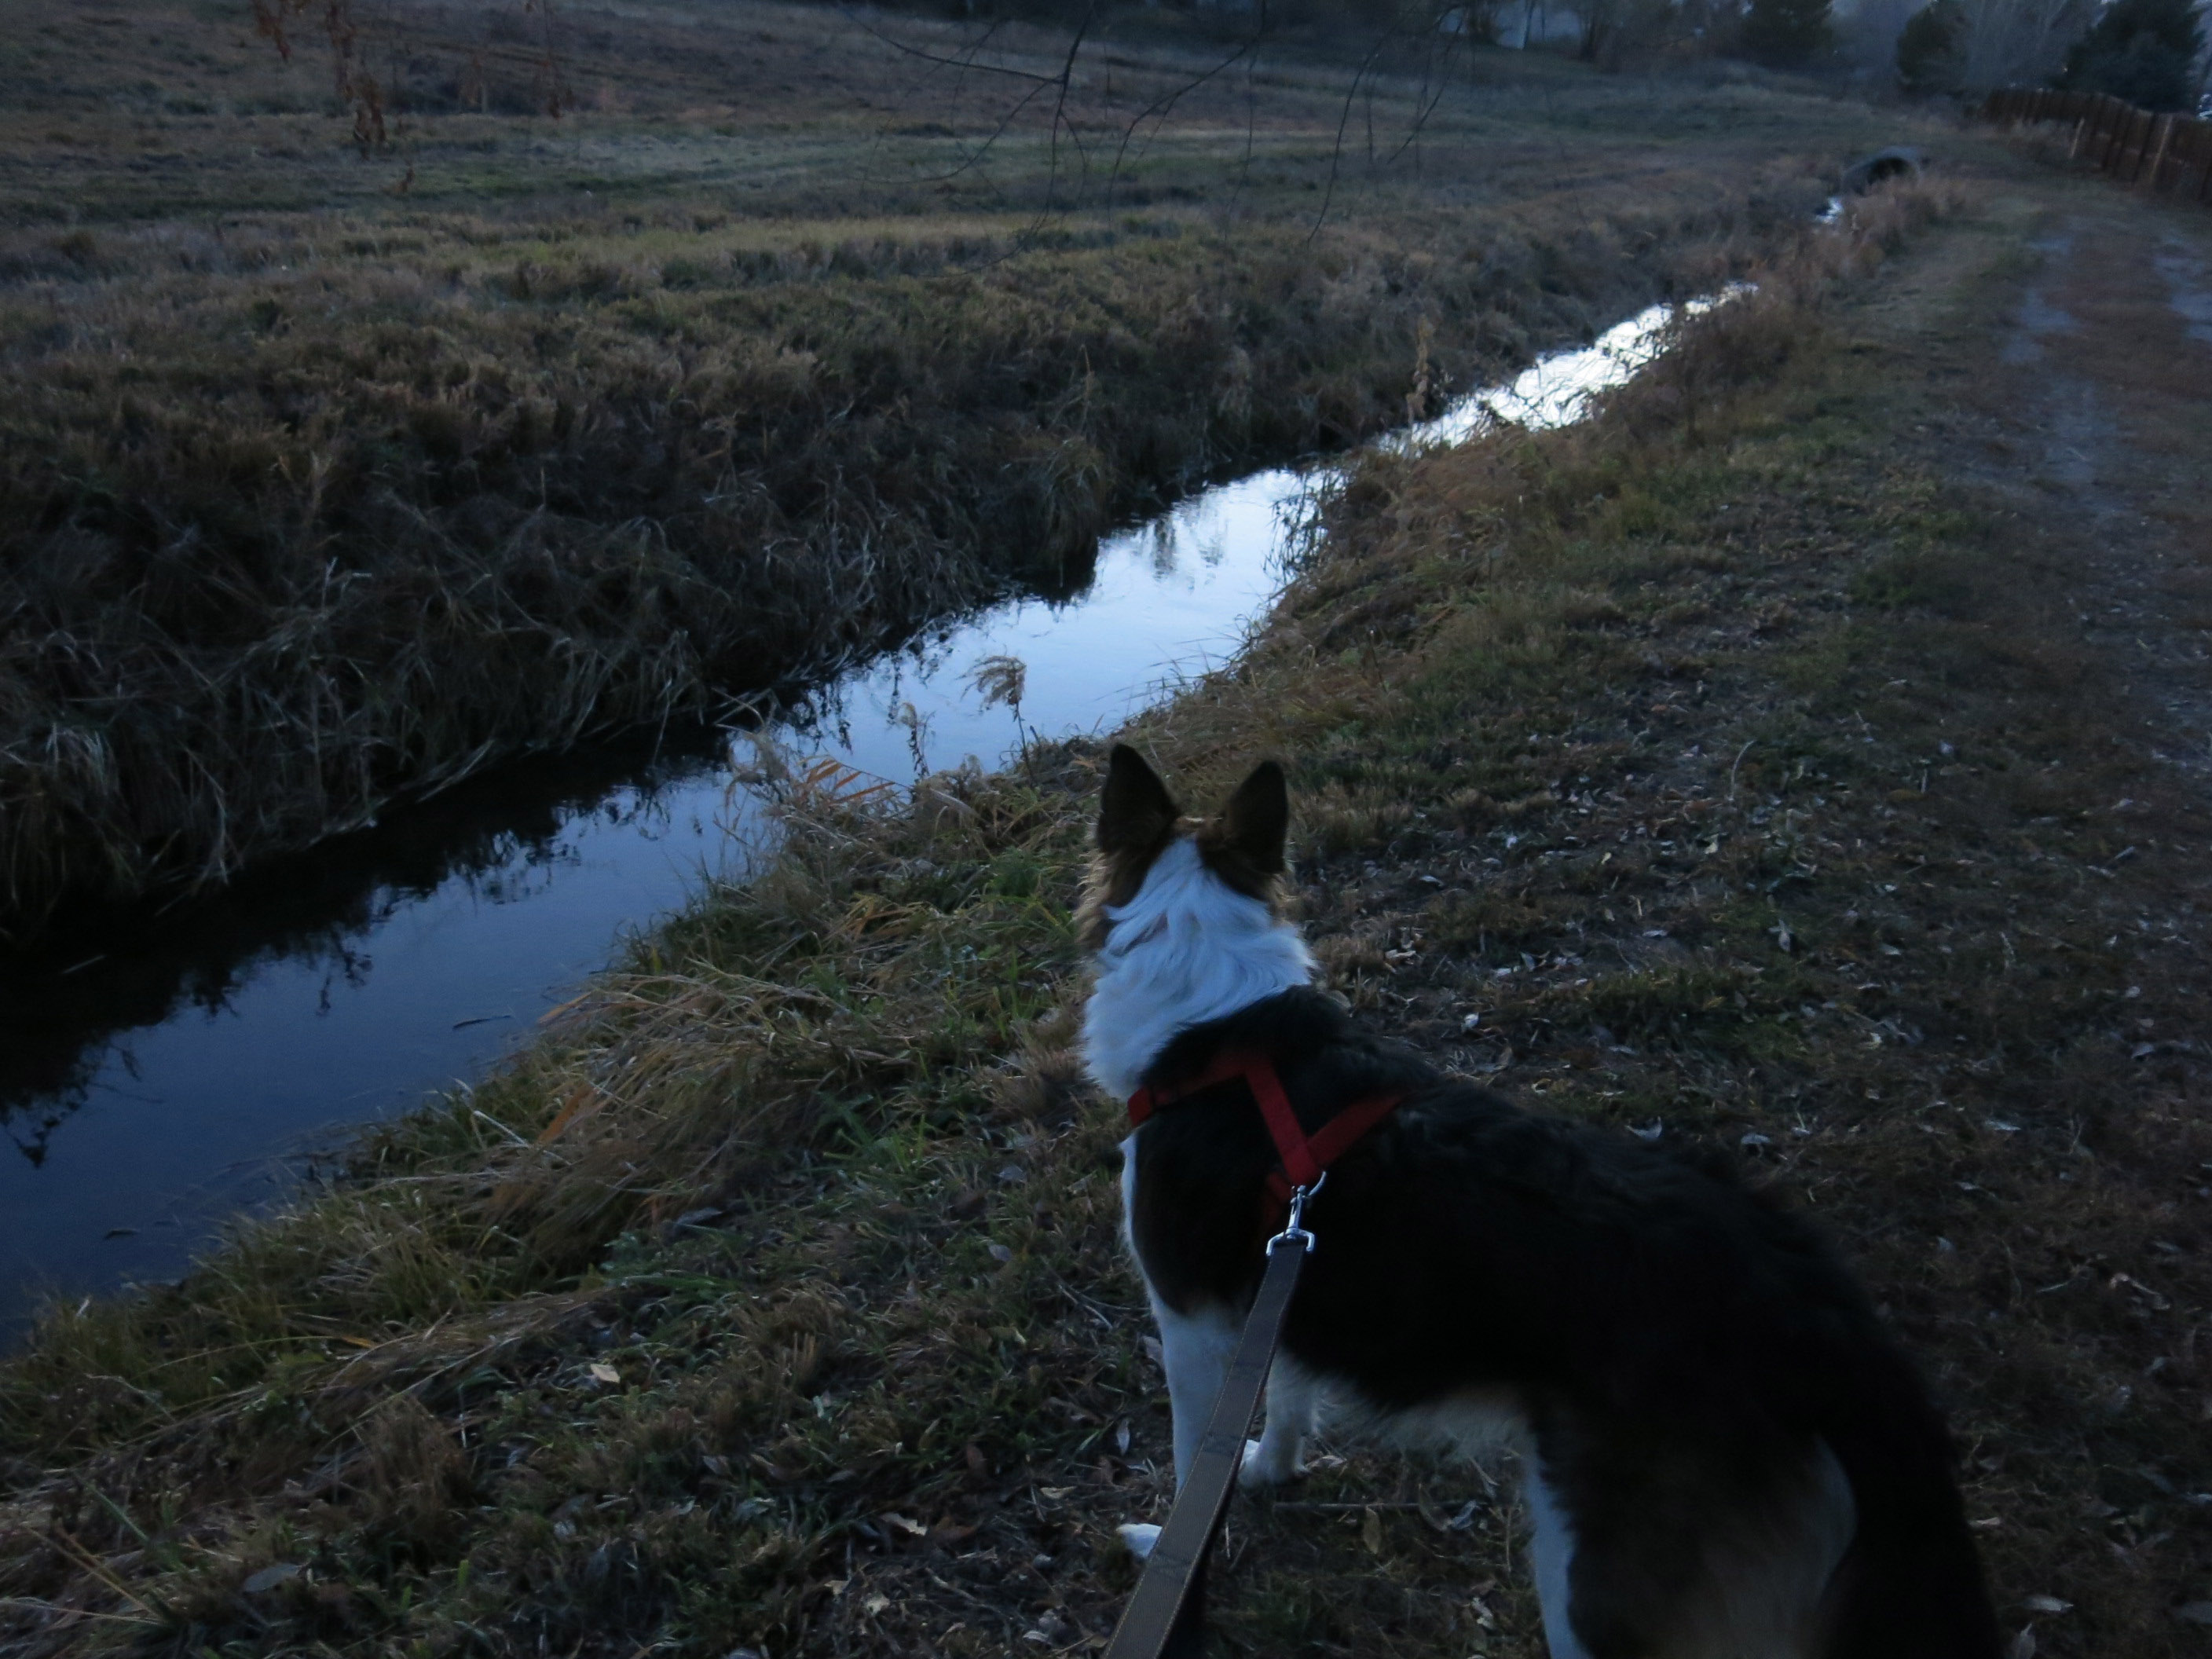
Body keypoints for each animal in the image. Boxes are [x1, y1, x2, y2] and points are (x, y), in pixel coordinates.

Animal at [1081, 744, 1999, 1659]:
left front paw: (1177, 1559)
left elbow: (1192, 1462)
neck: (1218, 1031)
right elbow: (1285, 1399)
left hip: (1590, 1582)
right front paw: (1270, 1472)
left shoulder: (1191, 1320)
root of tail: (1830, 1332)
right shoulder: (1281, 1274)